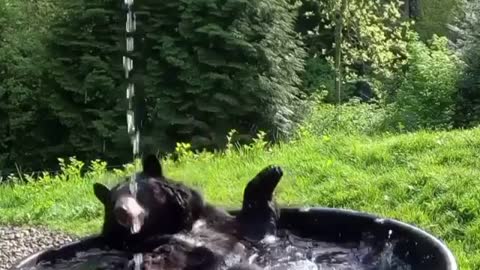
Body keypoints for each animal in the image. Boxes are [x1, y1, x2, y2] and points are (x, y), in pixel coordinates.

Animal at [92, 154, 284, 270]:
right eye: (112, 201)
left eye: (134, 190)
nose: (121, 210)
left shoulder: (219, 223)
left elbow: (254, 226)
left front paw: (270, 172)